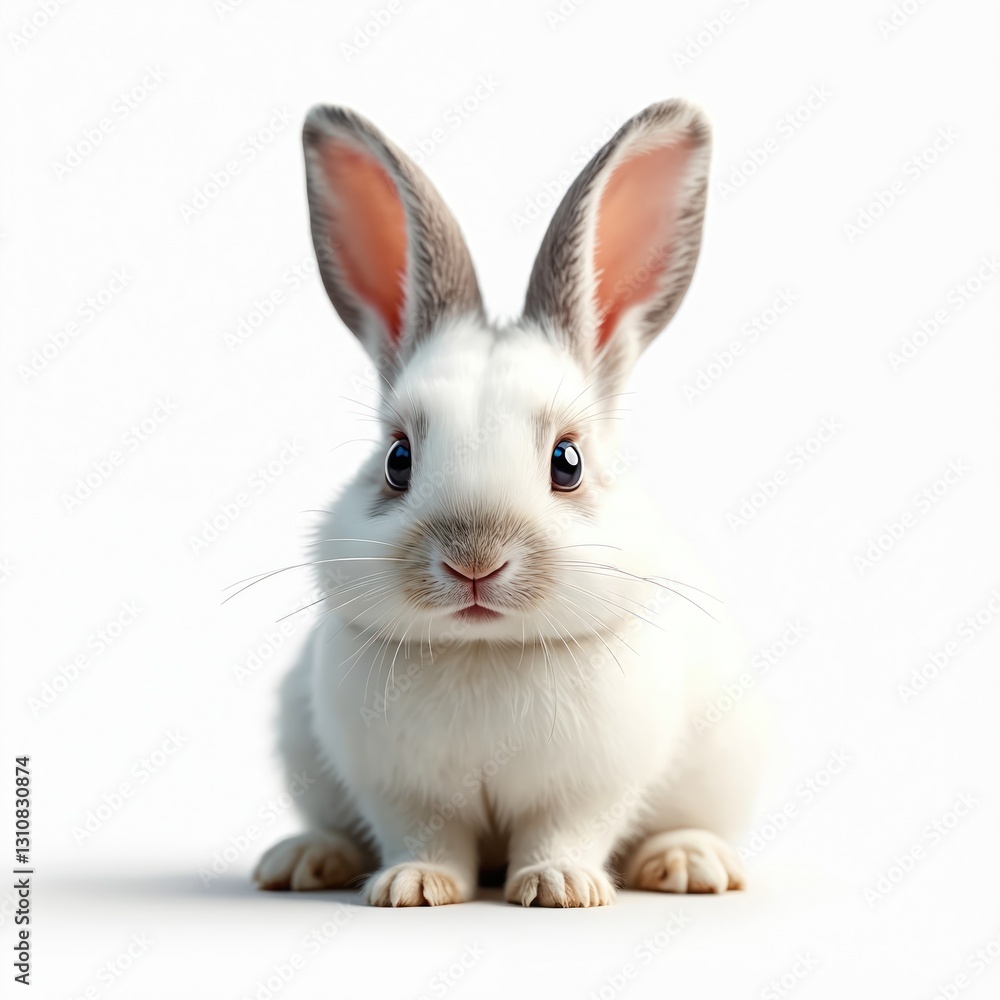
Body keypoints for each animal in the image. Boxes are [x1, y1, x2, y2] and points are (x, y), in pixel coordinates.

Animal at [252, 98, 768, 907]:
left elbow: (565, 833)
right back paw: (305, 858)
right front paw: (412, 886)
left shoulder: (589, 789)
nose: (475, 562)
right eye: (397, 461)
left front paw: (561, 886)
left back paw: (690, 863)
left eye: (568, 462)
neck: (484, 650)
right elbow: (427, 838)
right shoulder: (400, 791)